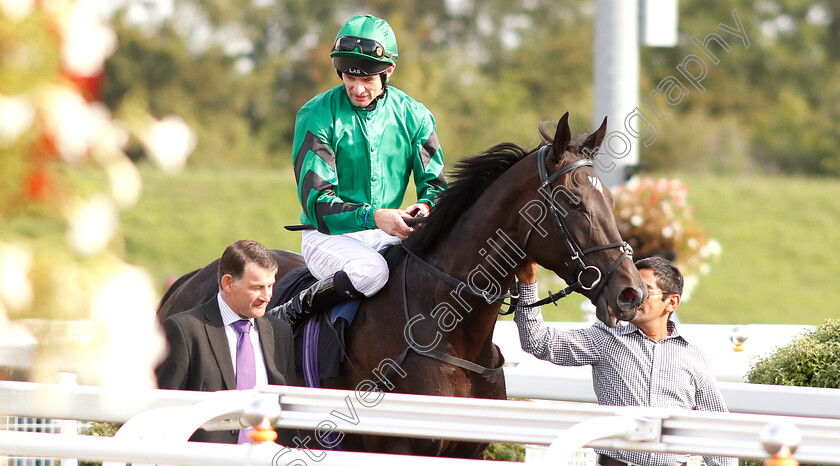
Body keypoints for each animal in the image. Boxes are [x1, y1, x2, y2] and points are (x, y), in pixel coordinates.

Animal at [158, 114, 648, 458]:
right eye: (573, 201)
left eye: (609, 198)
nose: (631, 293)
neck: (449, 330)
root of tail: (186, 281)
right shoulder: (397, 444)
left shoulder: (469, 449)